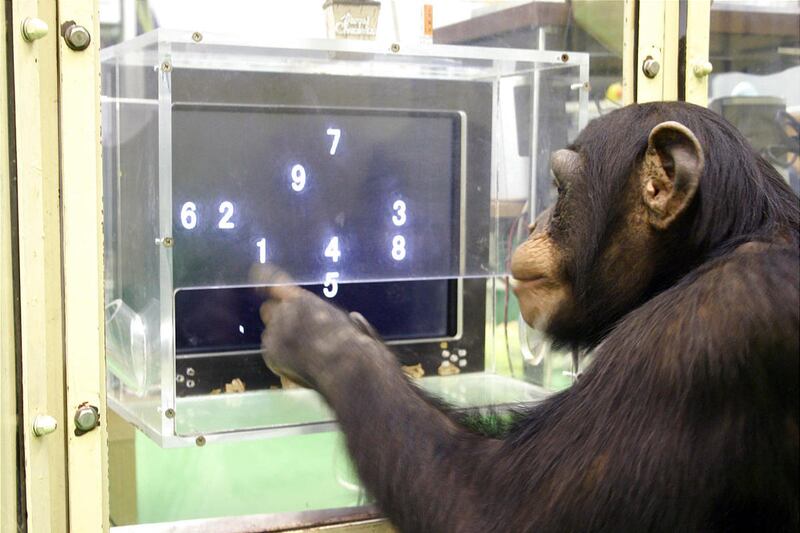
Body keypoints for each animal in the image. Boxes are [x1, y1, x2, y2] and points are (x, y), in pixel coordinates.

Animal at [258, 102, 799, 532]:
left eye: (559, 188)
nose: (535, 220)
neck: (712, 245)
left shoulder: (694, 335)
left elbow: (491, 507)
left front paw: (316, 335)